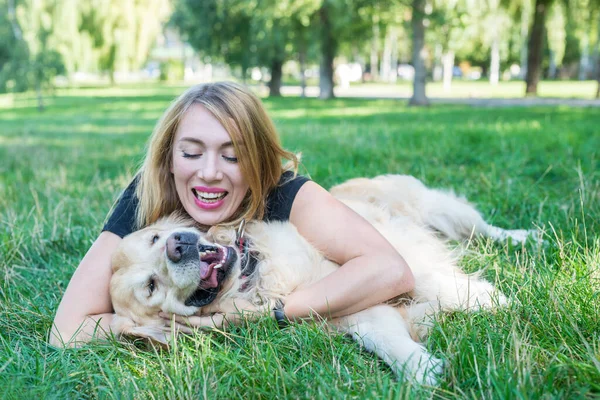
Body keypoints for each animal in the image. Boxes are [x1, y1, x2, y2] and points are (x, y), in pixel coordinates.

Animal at [109, 175, 536, 384]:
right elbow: (379, 335)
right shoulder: (351, 309)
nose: (178, 244)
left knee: (483, 227)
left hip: (438, 208)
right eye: (150, 286)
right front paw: (418, 367)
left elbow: (429, 279)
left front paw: (489, 299)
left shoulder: (387, 256)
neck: (257, 277)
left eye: (155, 238)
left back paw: (525, 236)